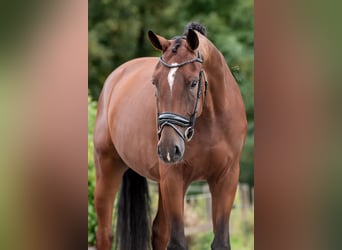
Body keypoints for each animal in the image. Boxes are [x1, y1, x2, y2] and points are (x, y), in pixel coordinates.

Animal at [95, 22, 247, 249]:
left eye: (193, 83)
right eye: (155, 82)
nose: (168, 148)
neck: (211, 121)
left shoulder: (226, 178)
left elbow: (220, 241)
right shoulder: (174, 178)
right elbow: (177, 242)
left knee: (159, 231)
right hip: (108, 168)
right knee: (105, 233)